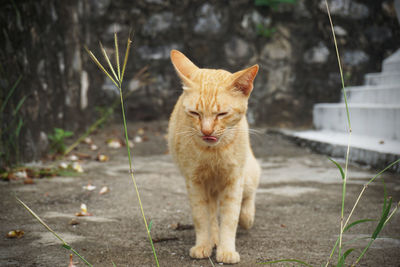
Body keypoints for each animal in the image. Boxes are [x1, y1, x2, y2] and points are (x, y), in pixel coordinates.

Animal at [167, 50, 260, 266]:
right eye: (194, 113)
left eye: (222, 113)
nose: (207, 131)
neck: (213, 153)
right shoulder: (194, 182)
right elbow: (202, 218)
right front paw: (203, 245)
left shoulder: (234, 180)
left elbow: (230, 218)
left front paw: (227, 250)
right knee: (211, 213)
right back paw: (213, 239)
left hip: (248, 174)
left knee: (249, 195)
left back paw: (247, 217)